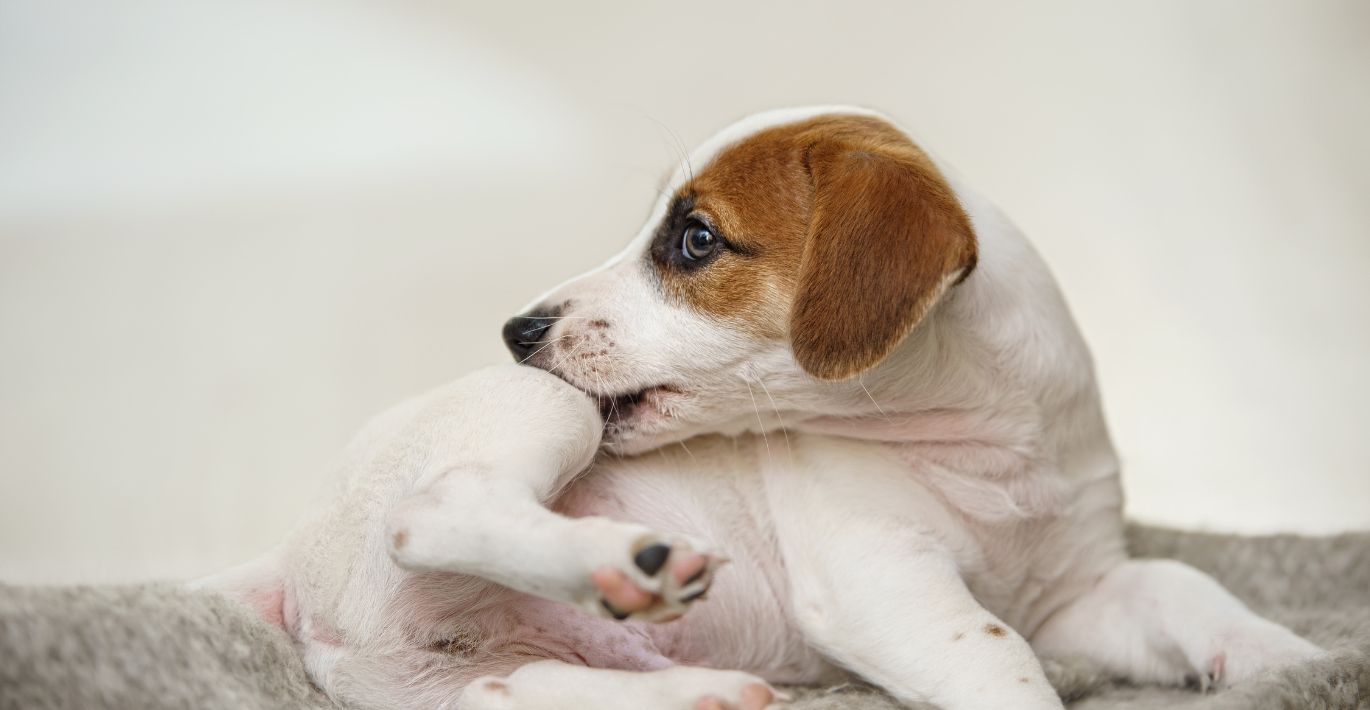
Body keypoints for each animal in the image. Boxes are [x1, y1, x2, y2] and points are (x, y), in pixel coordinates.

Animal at [198, 106, 1320, 710]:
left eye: (695, 239)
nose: (518, 328)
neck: (985, 449)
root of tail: (291, 555)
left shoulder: (1079, 594)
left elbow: (1184, 587)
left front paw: (1288, 658)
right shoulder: (881, 580)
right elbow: (999, 661)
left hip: (451, 674)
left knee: (504, 689)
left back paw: (697, 689)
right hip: (540, 420)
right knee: (435, 510)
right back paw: (626, 563)